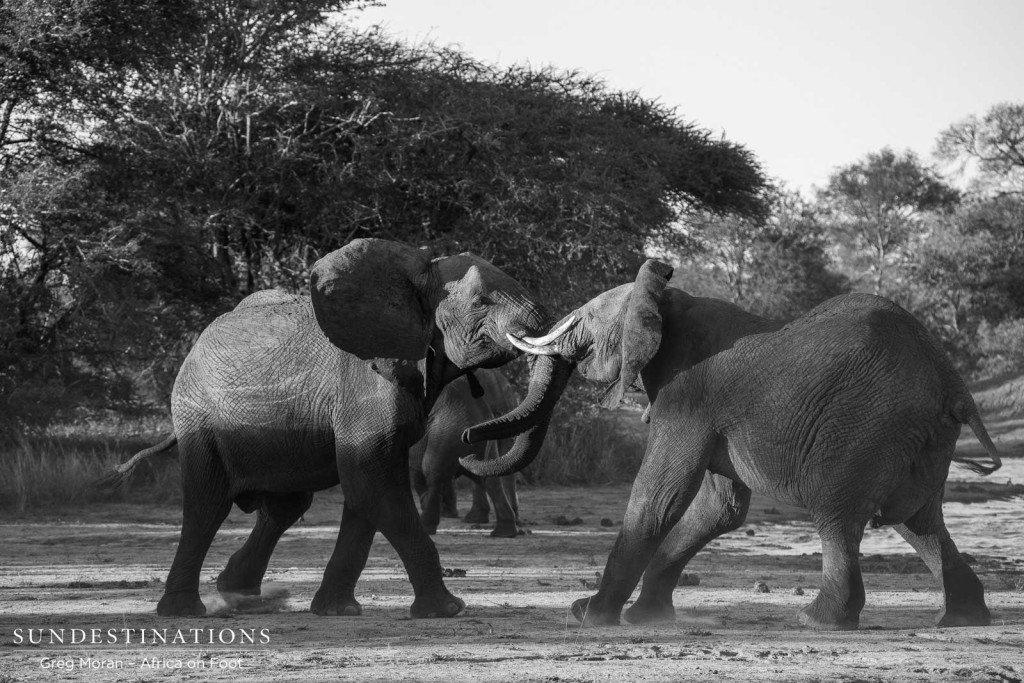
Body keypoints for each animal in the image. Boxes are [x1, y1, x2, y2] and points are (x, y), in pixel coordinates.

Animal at [466, 260, 1007, 630]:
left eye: (578, 323)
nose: (469, 440)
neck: (665, 300)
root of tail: (952, 383)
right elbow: (718, 509)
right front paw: (643, 616)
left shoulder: (688, 394)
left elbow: (660, 497)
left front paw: (590, 616)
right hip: (917, 436)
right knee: (920, 521)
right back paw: (962, 618)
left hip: (864, 424)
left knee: (839, 514)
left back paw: (818, 620)